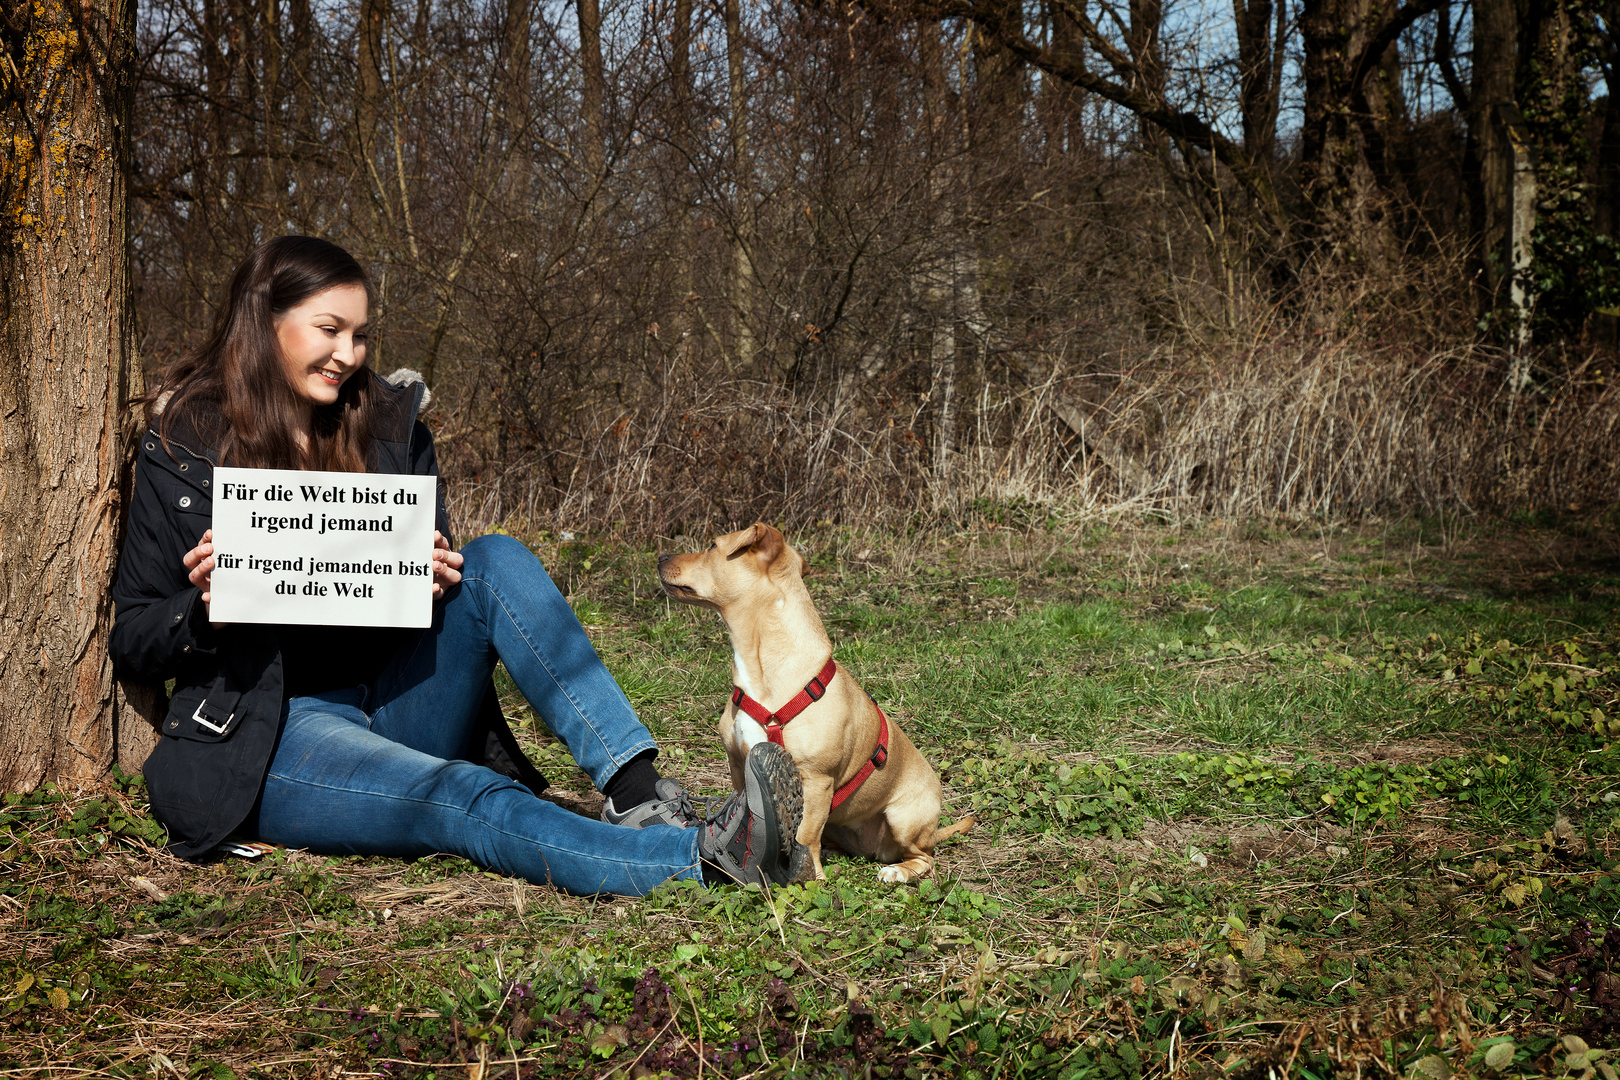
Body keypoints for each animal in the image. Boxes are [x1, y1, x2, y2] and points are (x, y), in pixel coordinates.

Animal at [651, 524, 965, 887]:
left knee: (925, 858)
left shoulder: (816, 779)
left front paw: (808, 875)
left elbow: (806, 832)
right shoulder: (738, 765)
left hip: (904, 818)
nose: (661, 556)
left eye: (713, 546)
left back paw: (898, 871)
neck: (763, 667)